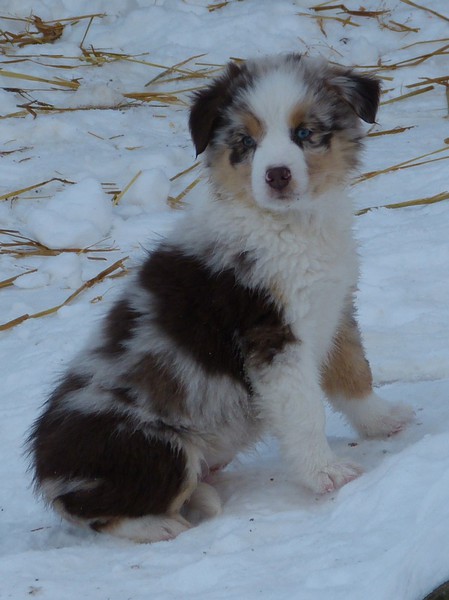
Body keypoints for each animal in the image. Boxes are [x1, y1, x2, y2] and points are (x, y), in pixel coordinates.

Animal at [28, 53, 414, 543]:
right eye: (246, 141)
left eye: (304, 133)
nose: (277, 175)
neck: (289, 227)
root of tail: (50, 477)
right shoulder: (272, 340)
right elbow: (306, 411)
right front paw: (325, 474)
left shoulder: (336, 307)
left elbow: (354, 372)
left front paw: (383, 421)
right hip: (158, 448)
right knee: (102, 513)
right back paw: (162, 524)